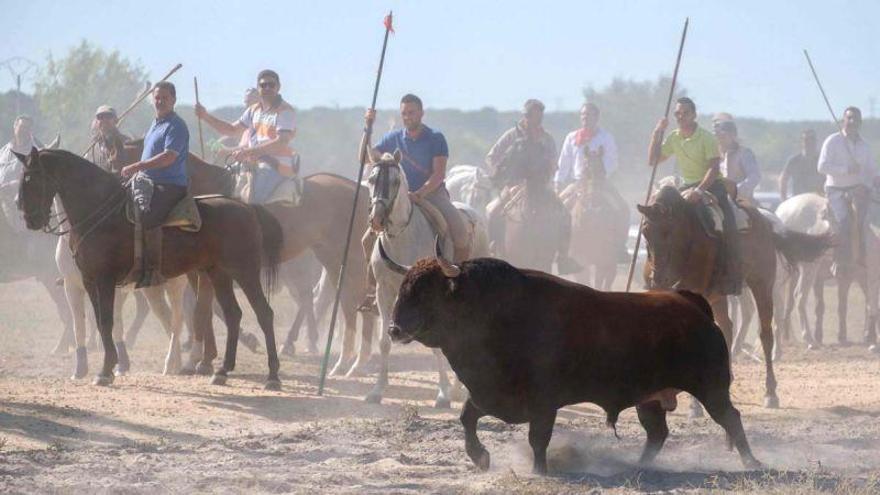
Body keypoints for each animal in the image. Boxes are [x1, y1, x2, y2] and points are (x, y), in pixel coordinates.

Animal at [15, 149, 284, 390]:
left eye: (30, 178)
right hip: (218, 274)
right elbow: (98, 322)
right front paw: (106, 368)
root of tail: (247, 208)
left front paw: (106, 371)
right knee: (232, 315)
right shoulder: (89, 282)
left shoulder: (105, 281)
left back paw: (272, 376)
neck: (100, 213)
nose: (29, 219)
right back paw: (222, 371)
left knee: (263, 313)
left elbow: (107, 322)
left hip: (244, 272)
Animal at [362, 153, 488, 408]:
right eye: (371, 179)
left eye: (395, 181)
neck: (401, 240)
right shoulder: (384, 293)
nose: (377, 219)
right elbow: (384, 342)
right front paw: (377, 391)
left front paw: (443, 395)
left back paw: (459, 390)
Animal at [636, 184, 828, 408]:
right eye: (645, 231)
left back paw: (770, 393)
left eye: (669, 231)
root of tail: (765, 221)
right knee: (727, 327)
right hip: (718, 295)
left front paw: (694, 405)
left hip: (762, 284)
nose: (658, 277)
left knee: (765, 334)